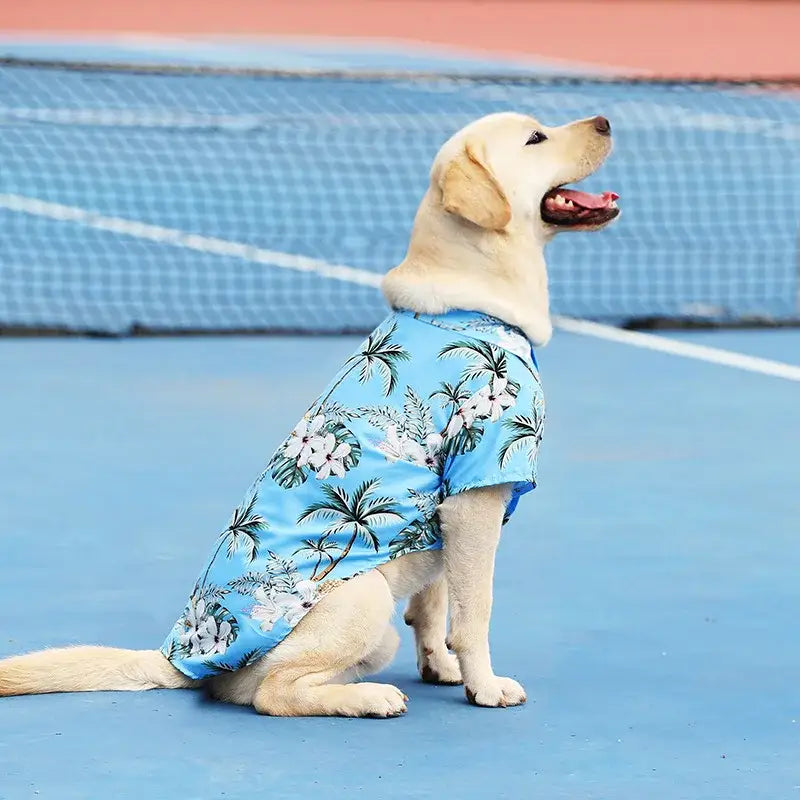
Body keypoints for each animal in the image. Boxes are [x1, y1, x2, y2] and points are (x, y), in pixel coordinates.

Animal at [0, 109, 620, 716]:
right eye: (535, 137)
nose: (606, 121)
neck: (472, 303)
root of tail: (181, 659)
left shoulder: (447, 512)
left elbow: (434, 604)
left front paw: (441, 668)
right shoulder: (477, 494)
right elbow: (474, 614)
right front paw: (484, 686)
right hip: (364, 597)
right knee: (271, 695)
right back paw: (368, 698)